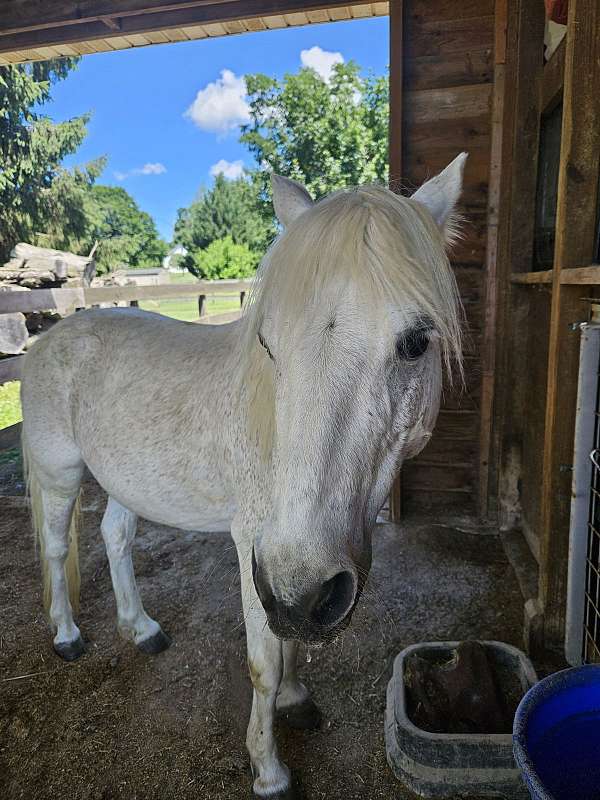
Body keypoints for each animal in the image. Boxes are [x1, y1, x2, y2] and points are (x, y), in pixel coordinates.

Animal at [20, 153, 466, 799]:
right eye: (268, 343)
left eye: (415, 342)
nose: (307, 596)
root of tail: (49, 336)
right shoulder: (256, 548)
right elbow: (265, 662)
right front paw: (269, 768)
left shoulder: (290, 572)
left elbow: (291, 644)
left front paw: (297, 698)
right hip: (61, 472)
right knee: (57, 549)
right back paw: (67, 636)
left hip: (125, 480)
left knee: (115, 538)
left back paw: (141, 629)